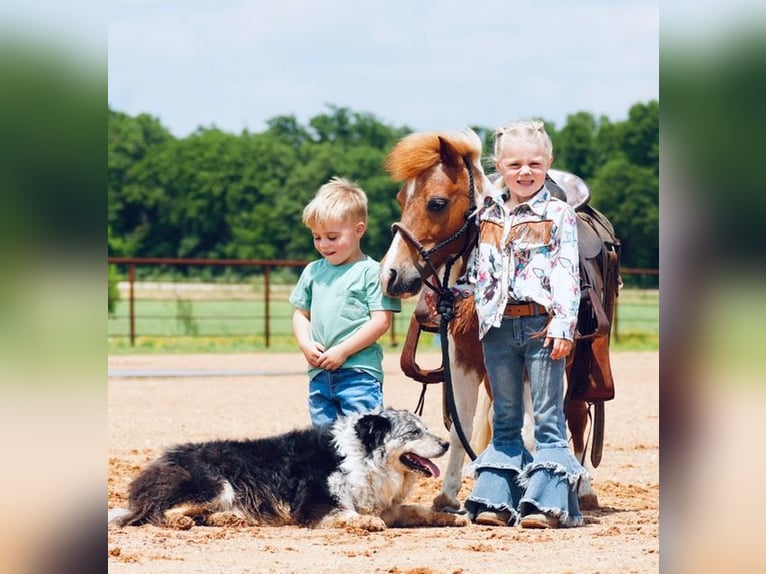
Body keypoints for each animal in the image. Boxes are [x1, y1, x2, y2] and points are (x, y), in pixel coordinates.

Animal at [379, 129, 620, 513]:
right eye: (402, 197)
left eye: (437, 203)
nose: (390, 275)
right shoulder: (464, 361)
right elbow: (461, 427)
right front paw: (449, 497)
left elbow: (535, 431)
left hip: (575, 365)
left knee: (575, 418)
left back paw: (582, 489)